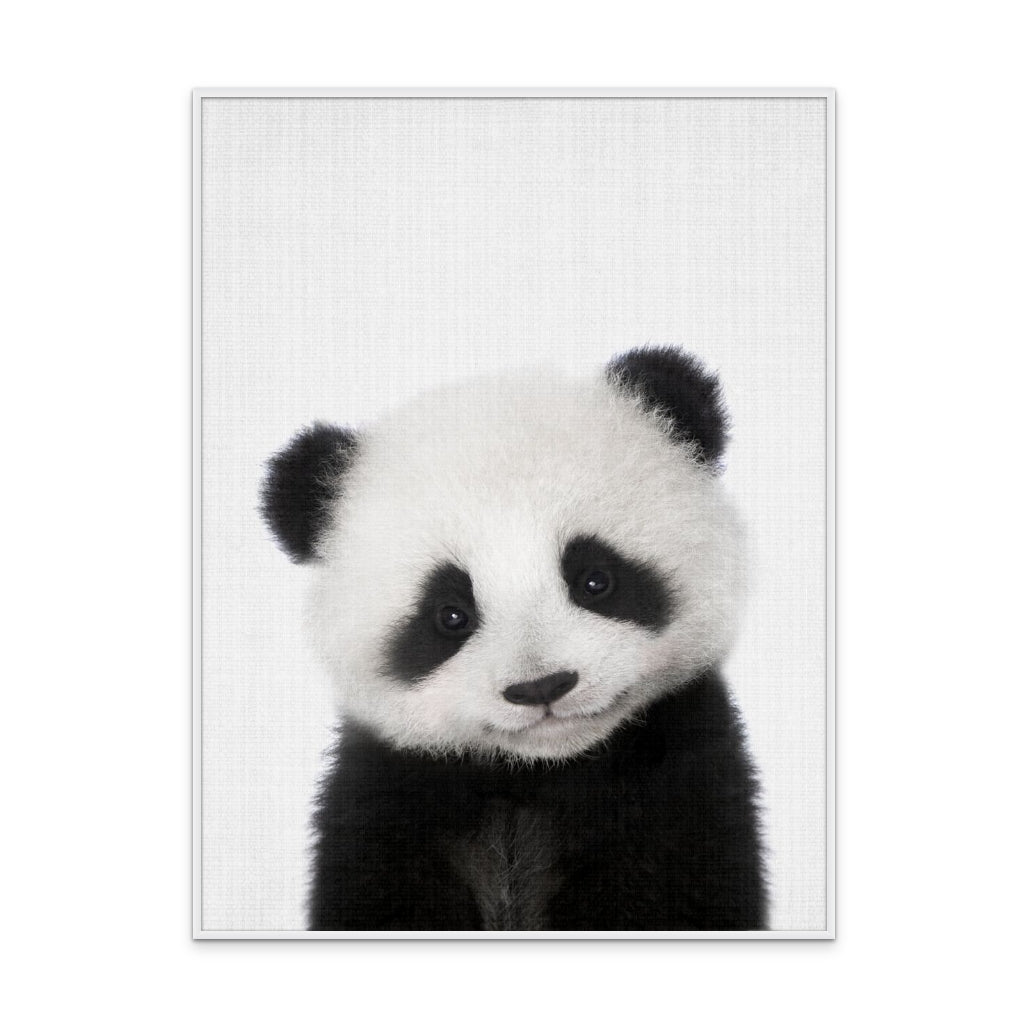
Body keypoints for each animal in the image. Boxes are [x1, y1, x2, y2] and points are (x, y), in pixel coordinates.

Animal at [261, 346, 766, 931]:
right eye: (450, 615)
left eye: (596, 580)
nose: (541, 686)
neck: (536, 774)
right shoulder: (388, 798)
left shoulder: (678, 780)